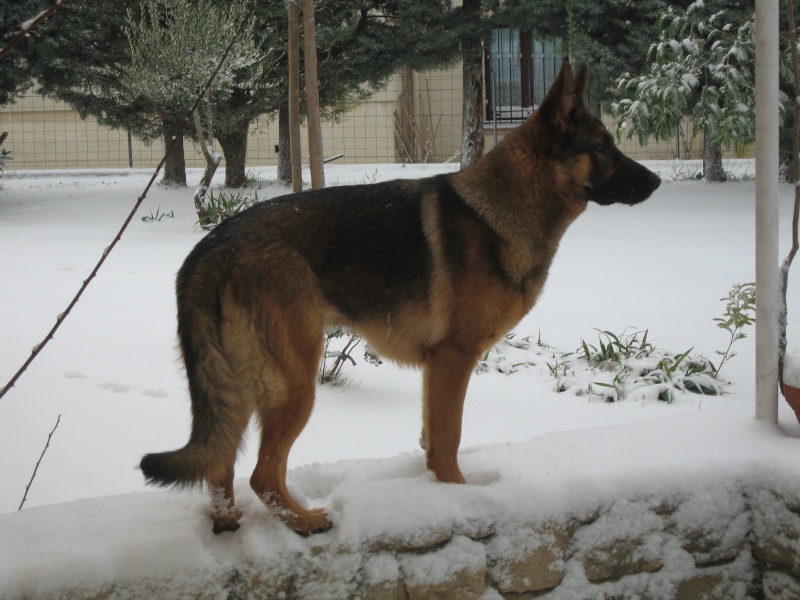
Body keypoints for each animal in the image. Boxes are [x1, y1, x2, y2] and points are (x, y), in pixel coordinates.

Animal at [139, 63, 664, 536]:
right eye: (603, 146)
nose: (657, 183)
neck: (506, 206)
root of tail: (211, 246)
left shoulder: (437, 367)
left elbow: (433, 438)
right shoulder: (454, 359)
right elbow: (449, 439)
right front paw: (459, 496)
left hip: (244, 382)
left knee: (220, 462)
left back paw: (229, 526)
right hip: (294, 383)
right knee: (261, 475)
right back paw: (306, 521)